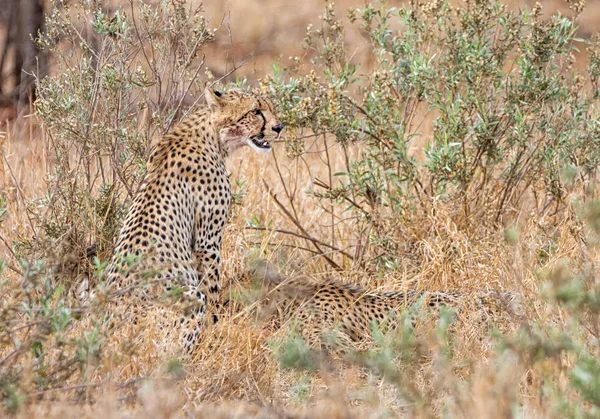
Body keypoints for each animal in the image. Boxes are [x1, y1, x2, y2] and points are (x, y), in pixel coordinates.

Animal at [105, 88, 284, 354]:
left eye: (270, 108)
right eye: (256, 111)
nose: (279, 127)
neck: (213, 136)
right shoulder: (207, 243)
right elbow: (212, 290)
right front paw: (217, 331)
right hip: (188, 296)